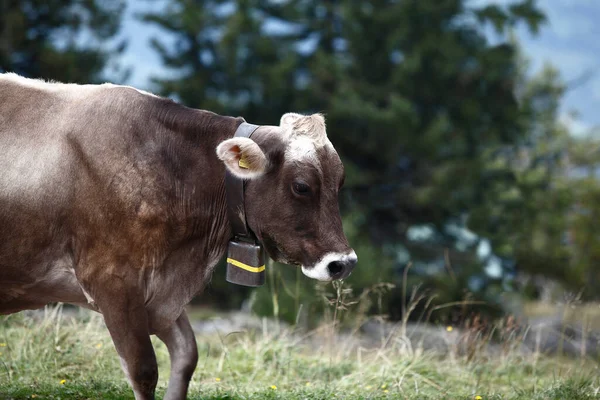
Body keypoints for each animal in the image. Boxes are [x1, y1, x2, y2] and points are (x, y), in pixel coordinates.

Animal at [0, 73, 356, 398]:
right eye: (302, 186)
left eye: (339, 183)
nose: (343, 263)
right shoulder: (112, 281)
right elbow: (144, 370)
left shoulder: (160, 294)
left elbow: (187, 355)